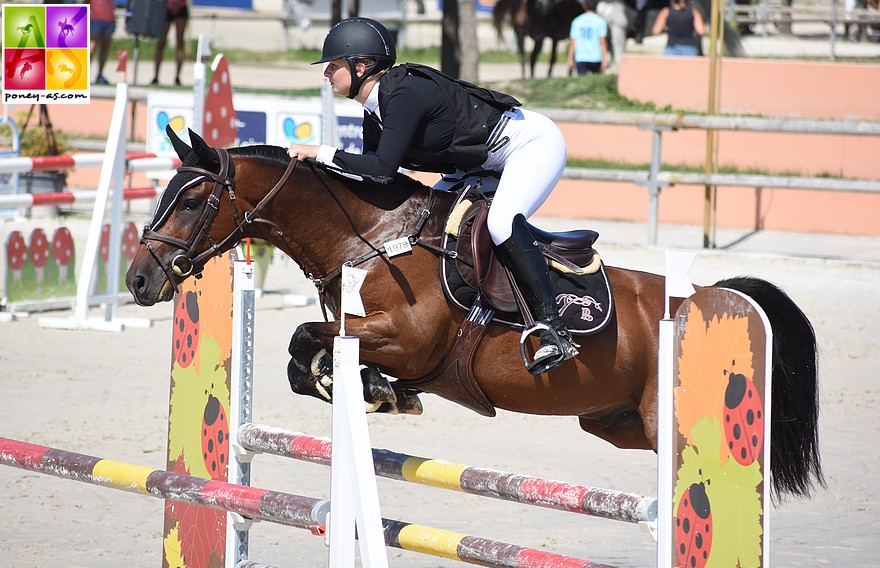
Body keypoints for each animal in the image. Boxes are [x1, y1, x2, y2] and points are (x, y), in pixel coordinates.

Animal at [127, 126, 820, 500]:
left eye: (190, 201)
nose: (137, 281)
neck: (370, 236)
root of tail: (704, 295)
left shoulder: (409, 341)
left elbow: (306, 335)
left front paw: (373, 387)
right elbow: (308, 353)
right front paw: (373, 390)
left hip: (657, 419)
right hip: (616, 422)